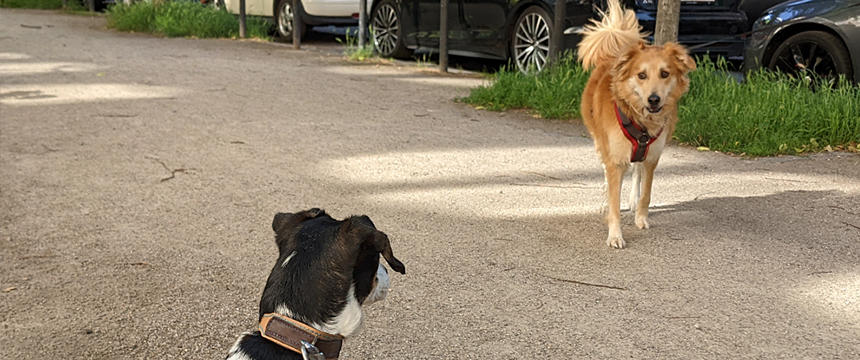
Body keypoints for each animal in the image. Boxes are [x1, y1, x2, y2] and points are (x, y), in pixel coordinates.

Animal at [576, 0, 696, 248]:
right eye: (641, 75)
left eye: (665, 73)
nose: (654, 99)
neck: (640, 118)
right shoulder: (614, 158)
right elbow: (614, 200)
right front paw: (615, 234)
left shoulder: (652, 156)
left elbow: (646, 192)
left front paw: (641, 217)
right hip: (600, 143)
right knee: (607, 172)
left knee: (637, 172)